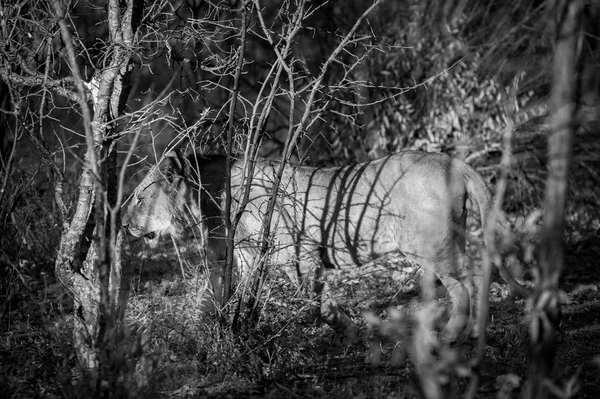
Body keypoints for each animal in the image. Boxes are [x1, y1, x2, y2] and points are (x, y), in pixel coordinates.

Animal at [124, 152, 524, 346]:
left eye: (140, 197)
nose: (126, 225)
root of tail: (452, 160)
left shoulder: (296, 251)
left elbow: (314, 302)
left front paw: (350, 330)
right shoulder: (245, 255)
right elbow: (225, 294)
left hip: (429, 244)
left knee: (468, 283)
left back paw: (455, 335)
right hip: (448, 238)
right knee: (477, 277)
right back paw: (472, 335)